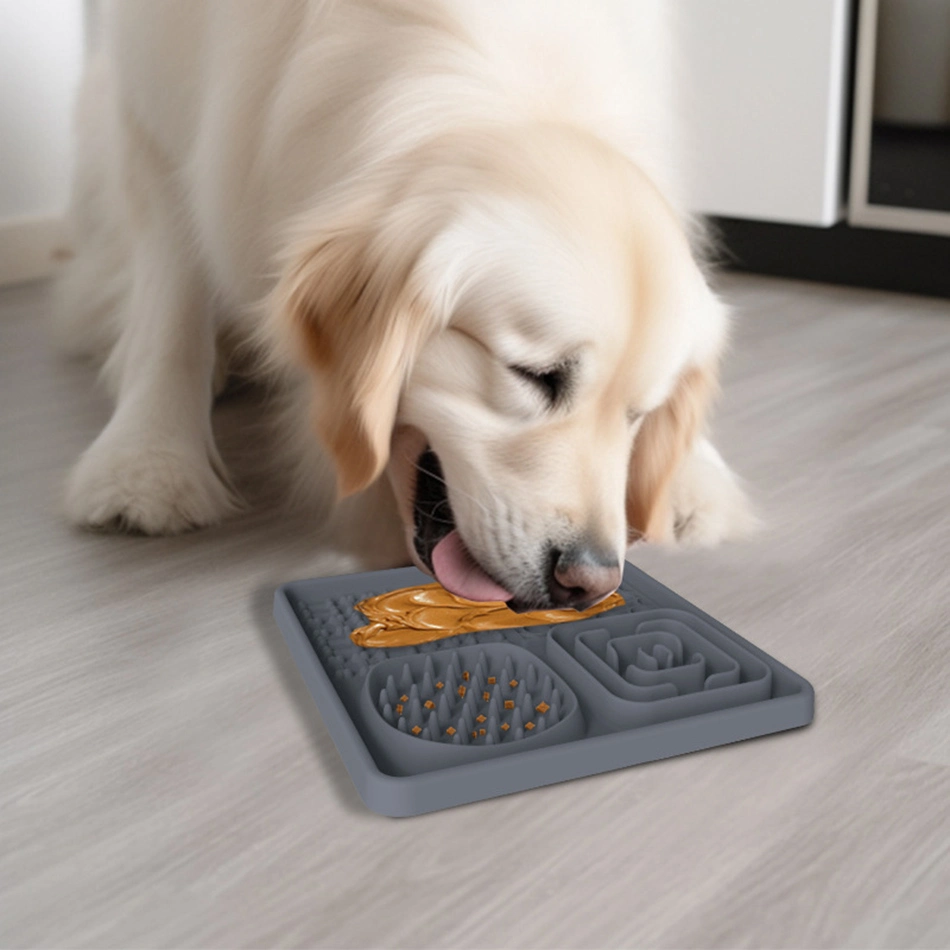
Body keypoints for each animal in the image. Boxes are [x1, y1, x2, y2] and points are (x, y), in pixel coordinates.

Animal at [55, 0, 756, 608]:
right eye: (535, 376)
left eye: (638, 414)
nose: (588, 581)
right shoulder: (157, 100)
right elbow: (170, 301)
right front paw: (148, 464)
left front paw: (689, 475)